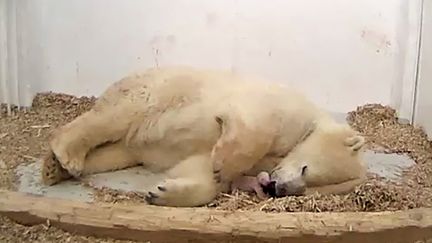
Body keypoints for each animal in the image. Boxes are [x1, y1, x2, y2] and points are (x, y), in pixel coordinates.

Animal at [42, 66, 366, 207]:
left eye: (308, 189)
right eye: (306, 170)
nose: (279, 189)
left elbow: (197, 166)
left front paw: (163, 192)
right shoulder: (280, 107)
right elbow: (252, 124)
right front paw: (223, 163)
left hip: (134, 141)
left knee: (117, 152)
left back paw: (54, 168)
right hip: (153, 94)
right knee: (114, 118)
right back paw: (67, 156)